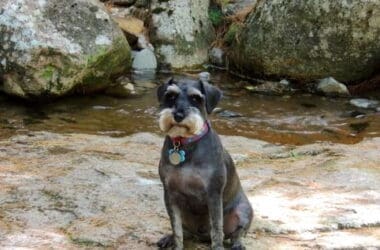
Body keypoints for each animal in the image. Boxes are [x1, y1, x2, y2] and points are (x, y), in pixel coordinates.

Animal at [156, 77, 254, 249]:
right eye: (171, 96)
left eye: (196, 98)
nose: (178, 115)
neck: (185, 143)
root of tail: (201, 237)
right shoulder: (170, 195)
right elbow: (177, 229)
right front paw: (176, 244)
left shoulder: (213, 194)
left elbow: (216, 228)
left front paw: (218, 247)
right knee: (186, 231)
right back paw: (169, 238)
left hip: (243, 211)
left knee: (237, 233)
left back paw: (238, 244)